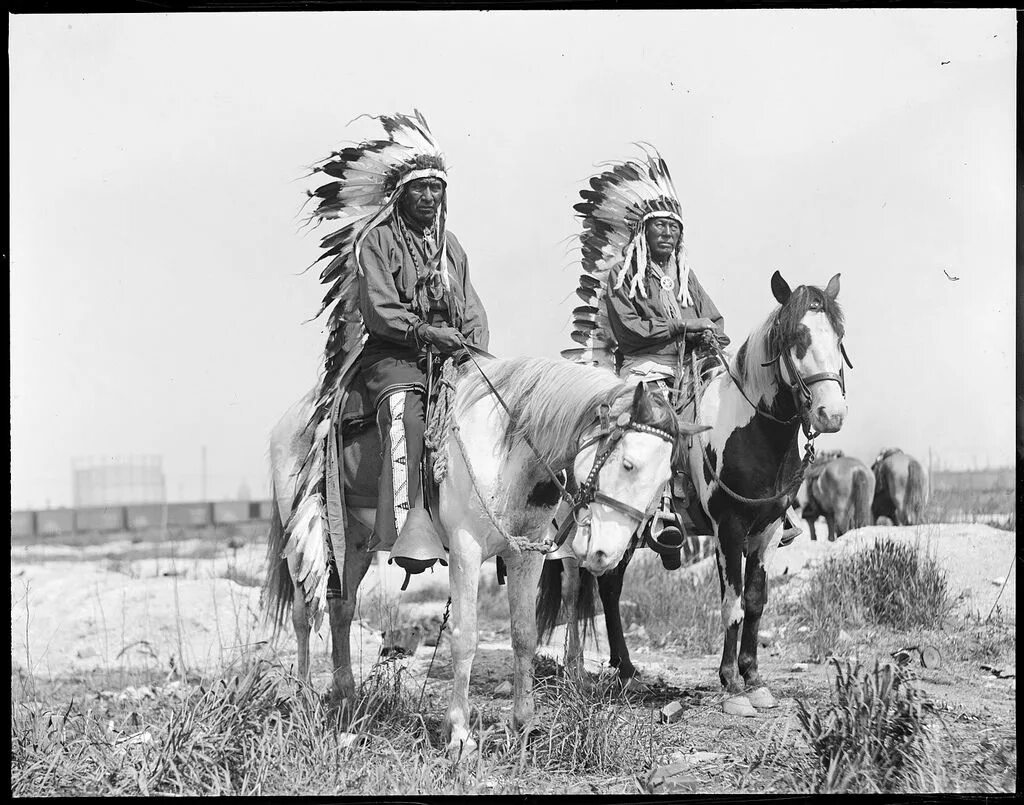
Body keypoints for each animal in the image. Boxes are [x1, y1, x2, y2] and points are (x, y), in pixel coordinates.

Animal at [260, 354, 688, 749]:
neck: (507, 453)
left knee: (341, 610)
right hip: (309, 533)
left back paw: (347, 697)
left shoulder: (527, 555)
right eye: (628, 464)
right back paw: (304, 700)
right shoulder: (465, 551)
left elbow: (525, 635)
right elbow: (464, 637)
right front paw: (459, 733)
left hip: (354, 538)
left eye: (665, 479)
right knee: (303, 615)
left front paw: (524, 724)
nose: (604, 555)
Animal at [540, 270, 851, 716]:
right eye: (797, 338)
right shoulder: (729, 530)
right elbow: (732, 604)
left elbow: (755, 602)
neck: (755, 432)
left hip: (622, 530)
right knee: (573, 590)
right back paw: (577, 671)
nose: (832, 415)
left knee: (609, 587)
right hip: (577, 528)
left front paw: (754, 678)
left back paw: (626, 670)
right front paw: (732, 686)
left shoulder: (768, 531)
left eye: (839, 337)